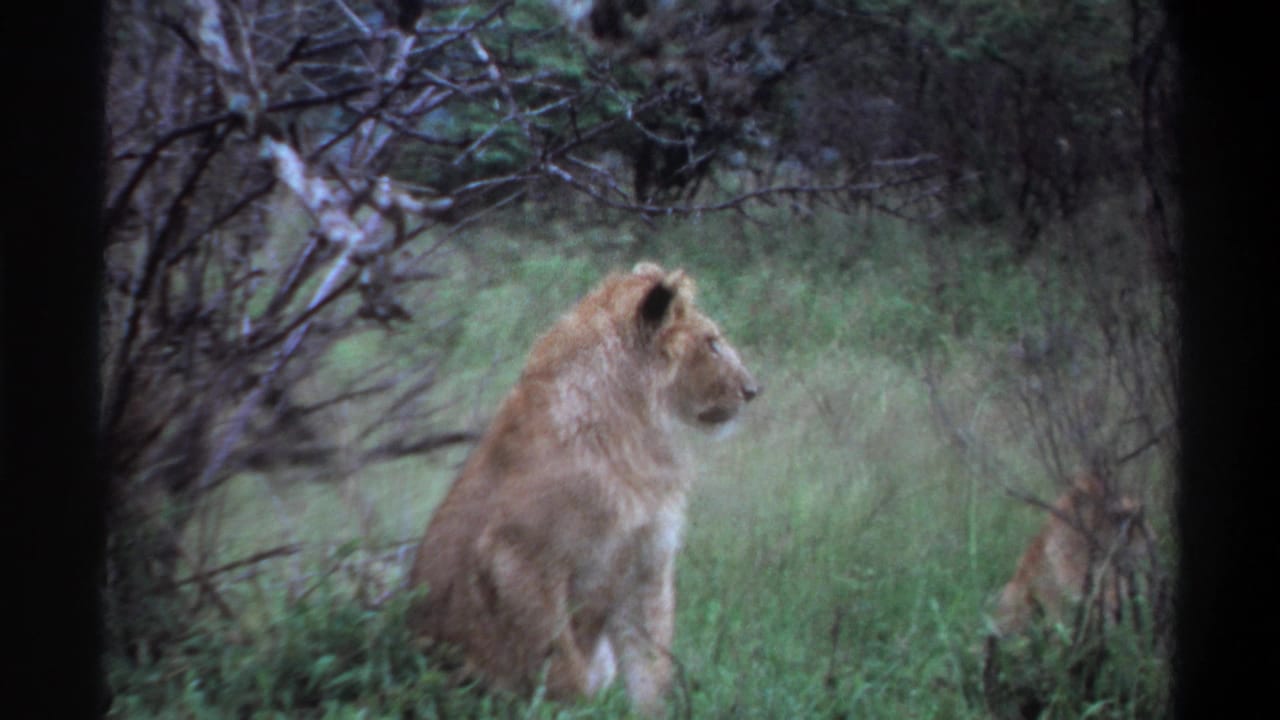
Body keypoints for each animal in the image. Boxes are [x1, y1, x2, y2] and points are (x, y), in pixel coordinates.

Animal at [408, 262, 760, 715]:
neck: (636, 432)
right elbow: (562, 668)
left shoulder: (647, 561)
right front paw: (577, 708)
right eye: (712, 343)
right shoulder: (519, 558)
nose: (752, 390)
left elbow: (650, 667)